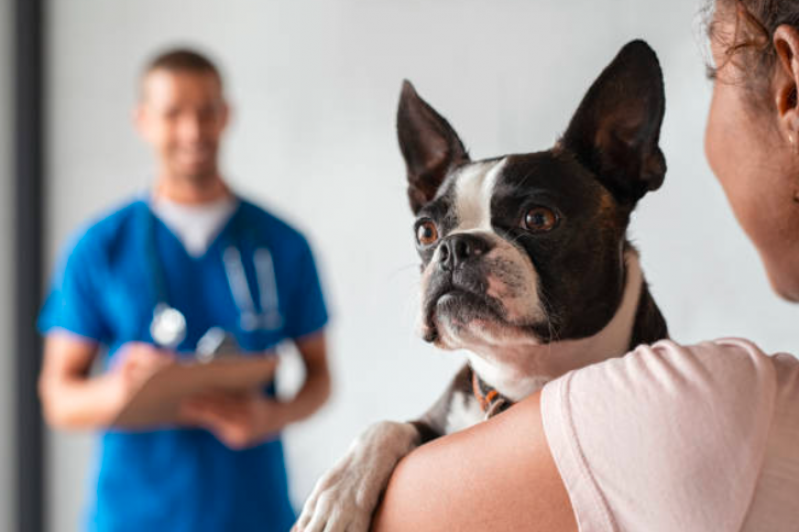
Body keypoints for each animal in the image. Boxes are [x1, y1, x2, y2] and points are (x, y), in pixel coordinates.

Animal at [294, 38, 668, 532]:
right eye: (426, 232)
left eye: (538, 218)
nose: (454, 247)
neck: (520, 378)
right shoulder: (434, 419)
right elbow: (388, 425)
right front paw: (338, 493)